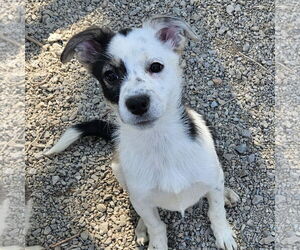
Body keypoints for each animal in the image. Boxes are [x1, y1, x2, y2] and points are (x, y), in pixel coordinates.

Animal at [46, 16, 239, 250]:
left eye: (156, 66)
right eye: (110, 75)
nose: (137, 103)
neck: (160, 142)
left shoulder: (211, 179)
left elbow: (216, 209)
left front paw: (224, 234)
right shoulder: (143, 201)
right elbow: (156, 225)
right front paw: (154, 239)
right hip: (118, 170)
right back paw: (140, 228)